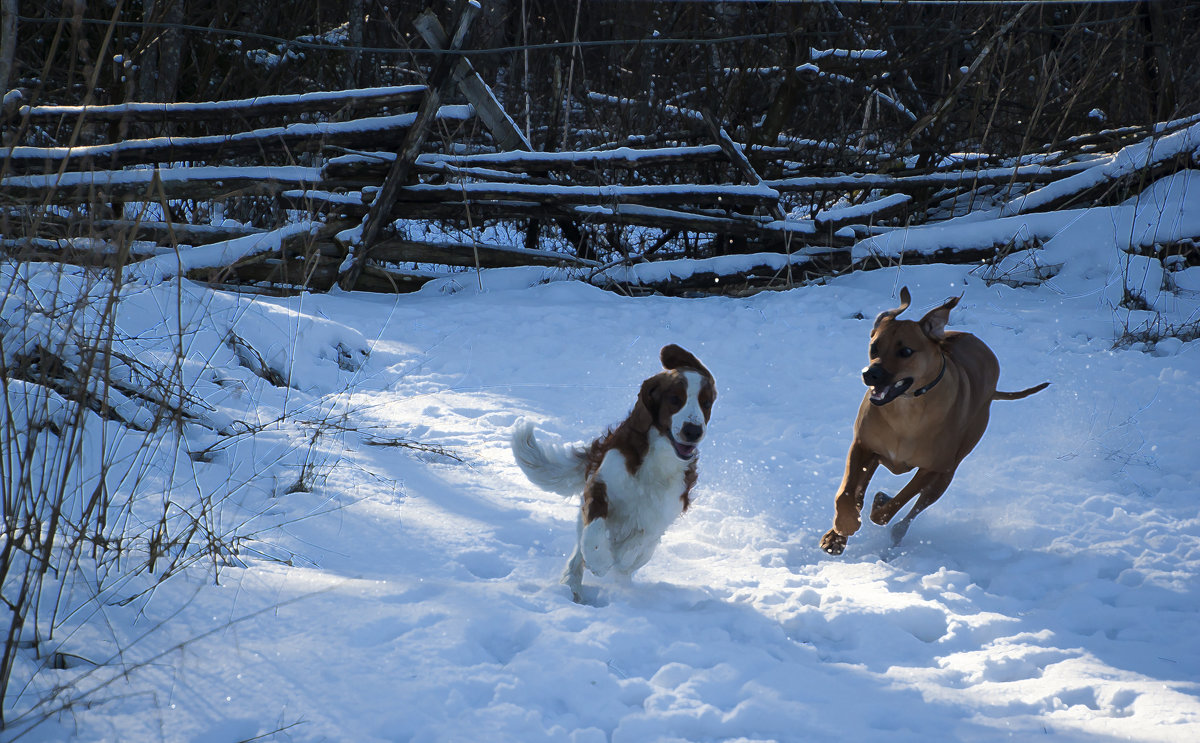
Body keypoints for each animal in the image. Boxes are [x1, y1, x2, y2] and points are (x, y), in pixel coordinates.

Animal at [511, 345, 715, 602]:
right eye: (675, 399)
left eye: (706, 403)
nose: (693, 431)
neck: (657, 456)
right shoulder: (600, 485)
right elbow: (594, 531)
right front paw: (600, 560)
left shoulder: (663, 513)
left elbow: (637, 543)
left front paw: (617, 557)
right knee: (579, 552)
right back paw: (573, 588)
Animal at [820, 288, 1046, 554]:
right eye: (874, 348)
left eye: (906, 351)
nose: (869, 374)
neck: (906, 409)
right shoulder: (863, 445)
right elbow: (845, 493)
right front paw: (841, 529)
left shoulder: (932, 468)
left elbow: (893, 506)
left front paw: (879, 505)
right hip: (880, 456)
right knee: (860, 489)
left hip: (948, 473)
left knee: (915, 507)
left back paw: (897, 530)